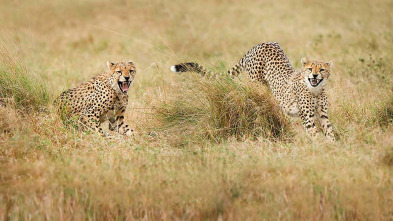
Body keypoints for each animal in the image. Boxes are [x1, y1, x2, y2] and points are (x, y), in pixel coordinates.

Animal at [171, 42, 334, 141]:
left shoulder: (322, 114)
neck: (315, 90)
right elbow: (314, 133)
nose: (314, 75)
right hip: (256, 85)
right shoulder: (307, 115)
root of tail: (261, 44)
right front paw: (321, 148)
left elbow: (329, 130)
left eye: (322, 70)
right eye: (310, 69)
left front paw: (332, 147)